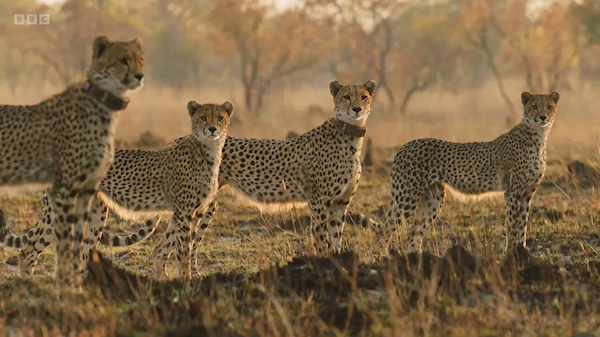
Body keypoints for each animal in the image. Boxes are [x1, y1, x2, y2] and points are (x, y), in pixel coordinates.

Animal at [1, 100, 233, 278]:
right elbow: (184, 252)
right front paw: (186, 280)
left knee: (80, 254)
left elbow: (188, 248)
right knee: (27, 253)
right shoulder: (184, 213)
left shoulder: (193, 212)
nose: (212, 129)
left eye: (220, 118)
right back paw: (30, 285)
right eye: (203, 117)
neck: (209, 151)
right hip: (60, 214)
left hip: (94, 217)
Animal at [378, 90, 560, 253]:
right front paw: (511, 254)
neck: (539, 137)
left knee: (414, 236)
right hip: (406, 196)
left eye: (549, 107)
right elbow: (513, 227)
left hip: (433, 198)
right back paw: (382, 257)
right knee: (385, 229)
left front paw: (521, 252)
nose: (543, 117)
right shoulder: (513, 193)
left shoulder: (527, 193)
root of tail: (405, 146)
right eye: (534, 106)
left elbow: (522, 227)